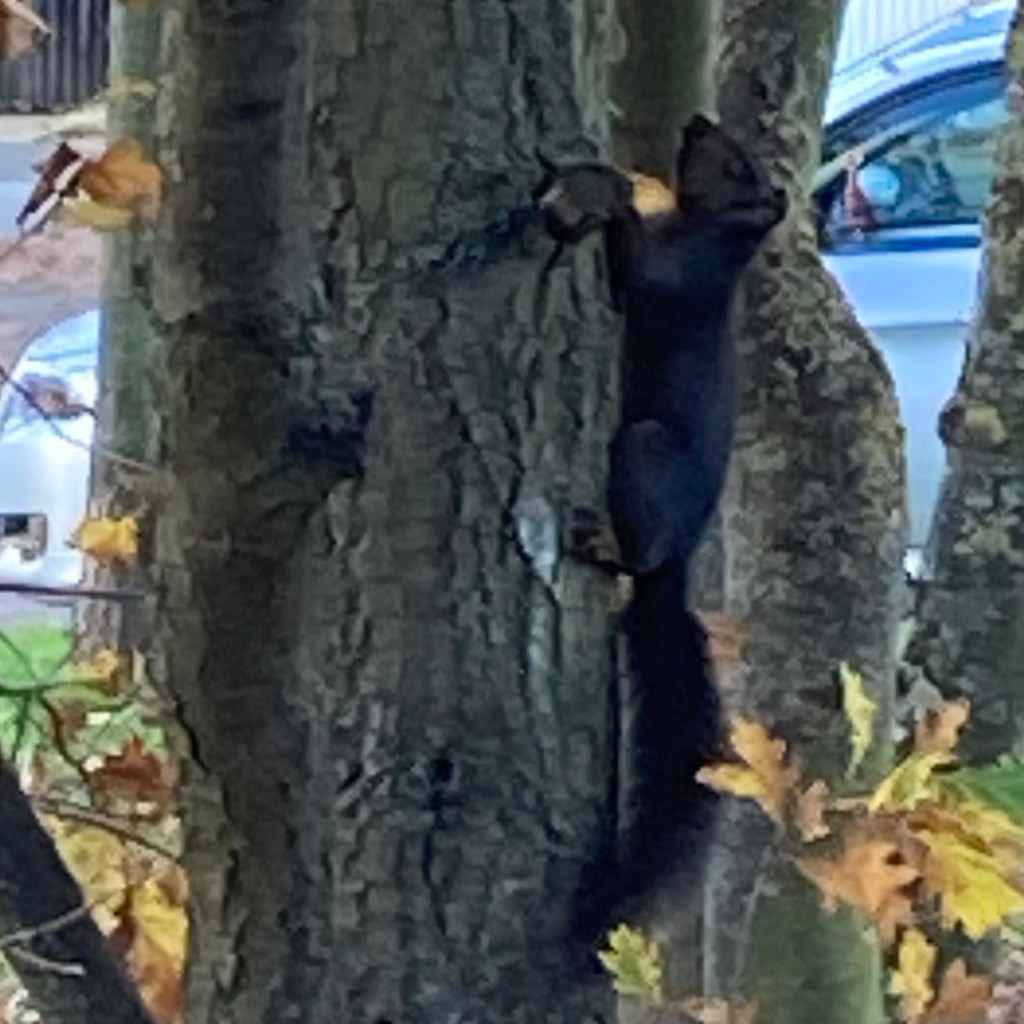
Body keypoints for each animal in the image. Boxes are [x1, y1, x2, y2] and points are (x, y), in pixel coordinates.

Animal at [536, 115, 787, 944]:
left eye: (736, 167)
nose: (697, 121)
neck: (703, 230)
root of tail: (679, 564)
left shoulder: (683, 278)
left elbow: (641, 274)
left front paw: (608, 197)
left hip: (643, 454)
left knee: (638, 552)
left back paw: (605, 542)